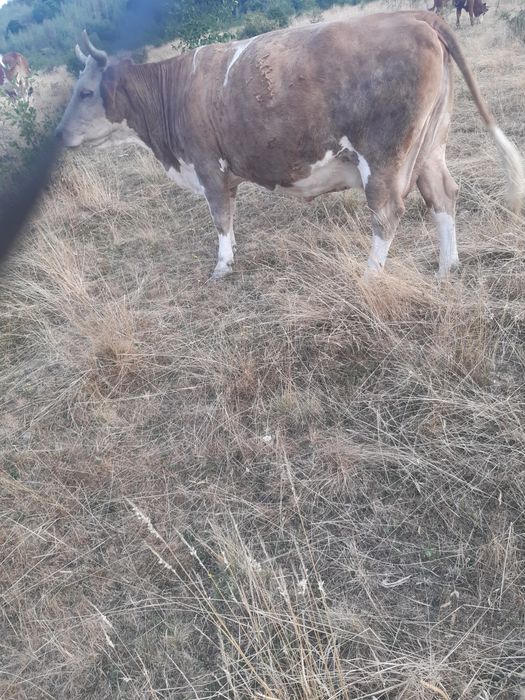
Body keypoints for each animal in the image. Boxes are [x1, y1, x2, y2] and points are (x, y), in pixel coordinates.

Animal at [56, 14, 524, 280]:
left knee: (387, 212)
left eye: (85, 92)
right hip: (430, 147)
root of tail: (419, 19)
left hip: (385, 156)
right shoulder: (224, 172)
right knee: (443, 195)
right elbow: (229, 216)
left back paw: (370, 276)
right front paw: (232, 253)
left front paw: (222, 265)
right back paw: (447, 268)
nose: (58, 135)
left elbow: (219, 217)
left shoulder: (207, 165)